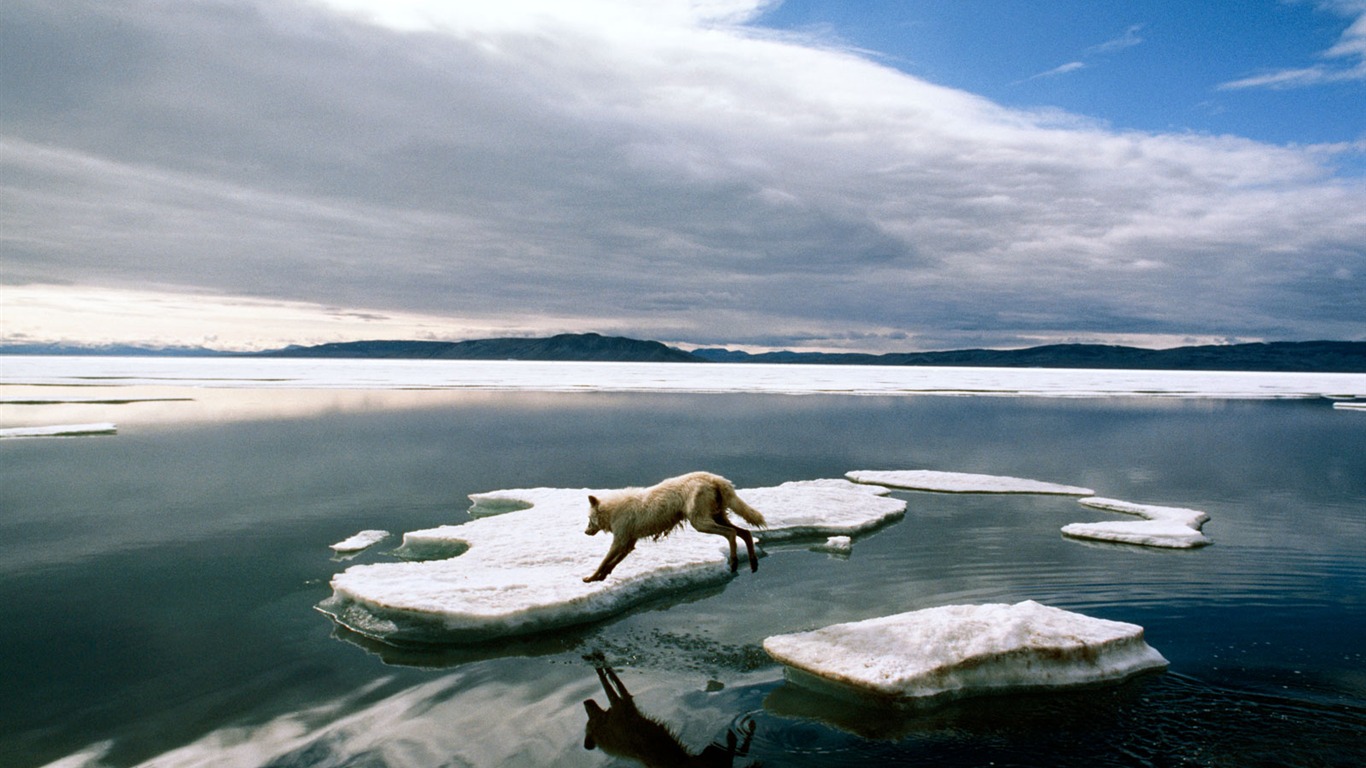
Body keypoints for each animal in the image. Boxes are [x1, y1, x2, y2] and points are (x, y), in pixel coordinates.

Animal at [579, 467, 764, 579]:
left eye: (588, 519)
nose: (585, 532)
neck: (612, 511)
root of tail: (716, 479)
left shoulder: (620, 540)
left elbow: (604, 561)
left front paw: (590, 578)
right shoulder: (629, 543)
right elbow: (612, 563)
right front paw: (601, 577)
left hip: (700, 522)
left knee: (731, 533)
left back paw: (734, 562)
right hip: (716, 517)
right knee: (745, 532)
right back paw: (753, 562)